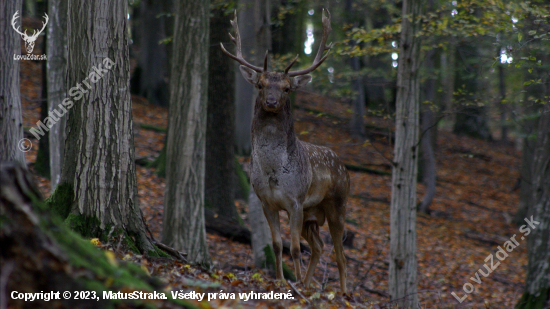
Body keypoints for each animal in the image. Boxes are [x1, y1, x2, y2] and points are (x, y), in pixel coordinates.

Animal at [222, 10, 352, 294]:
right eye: (260, 85)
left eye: (286, 88)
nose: (271, 102)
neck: (273, 172)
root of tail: (346, 168)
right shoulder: (266, 202)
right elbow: (277, 245)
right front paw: (282, 281)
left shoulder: (295, 200)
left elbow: (293, 248)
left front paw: (295, 286)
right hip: (312, 216)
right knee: (319, 247)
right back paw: (308, 283)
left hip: (337, 203)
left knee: (339, 253)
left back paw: (342, 291)